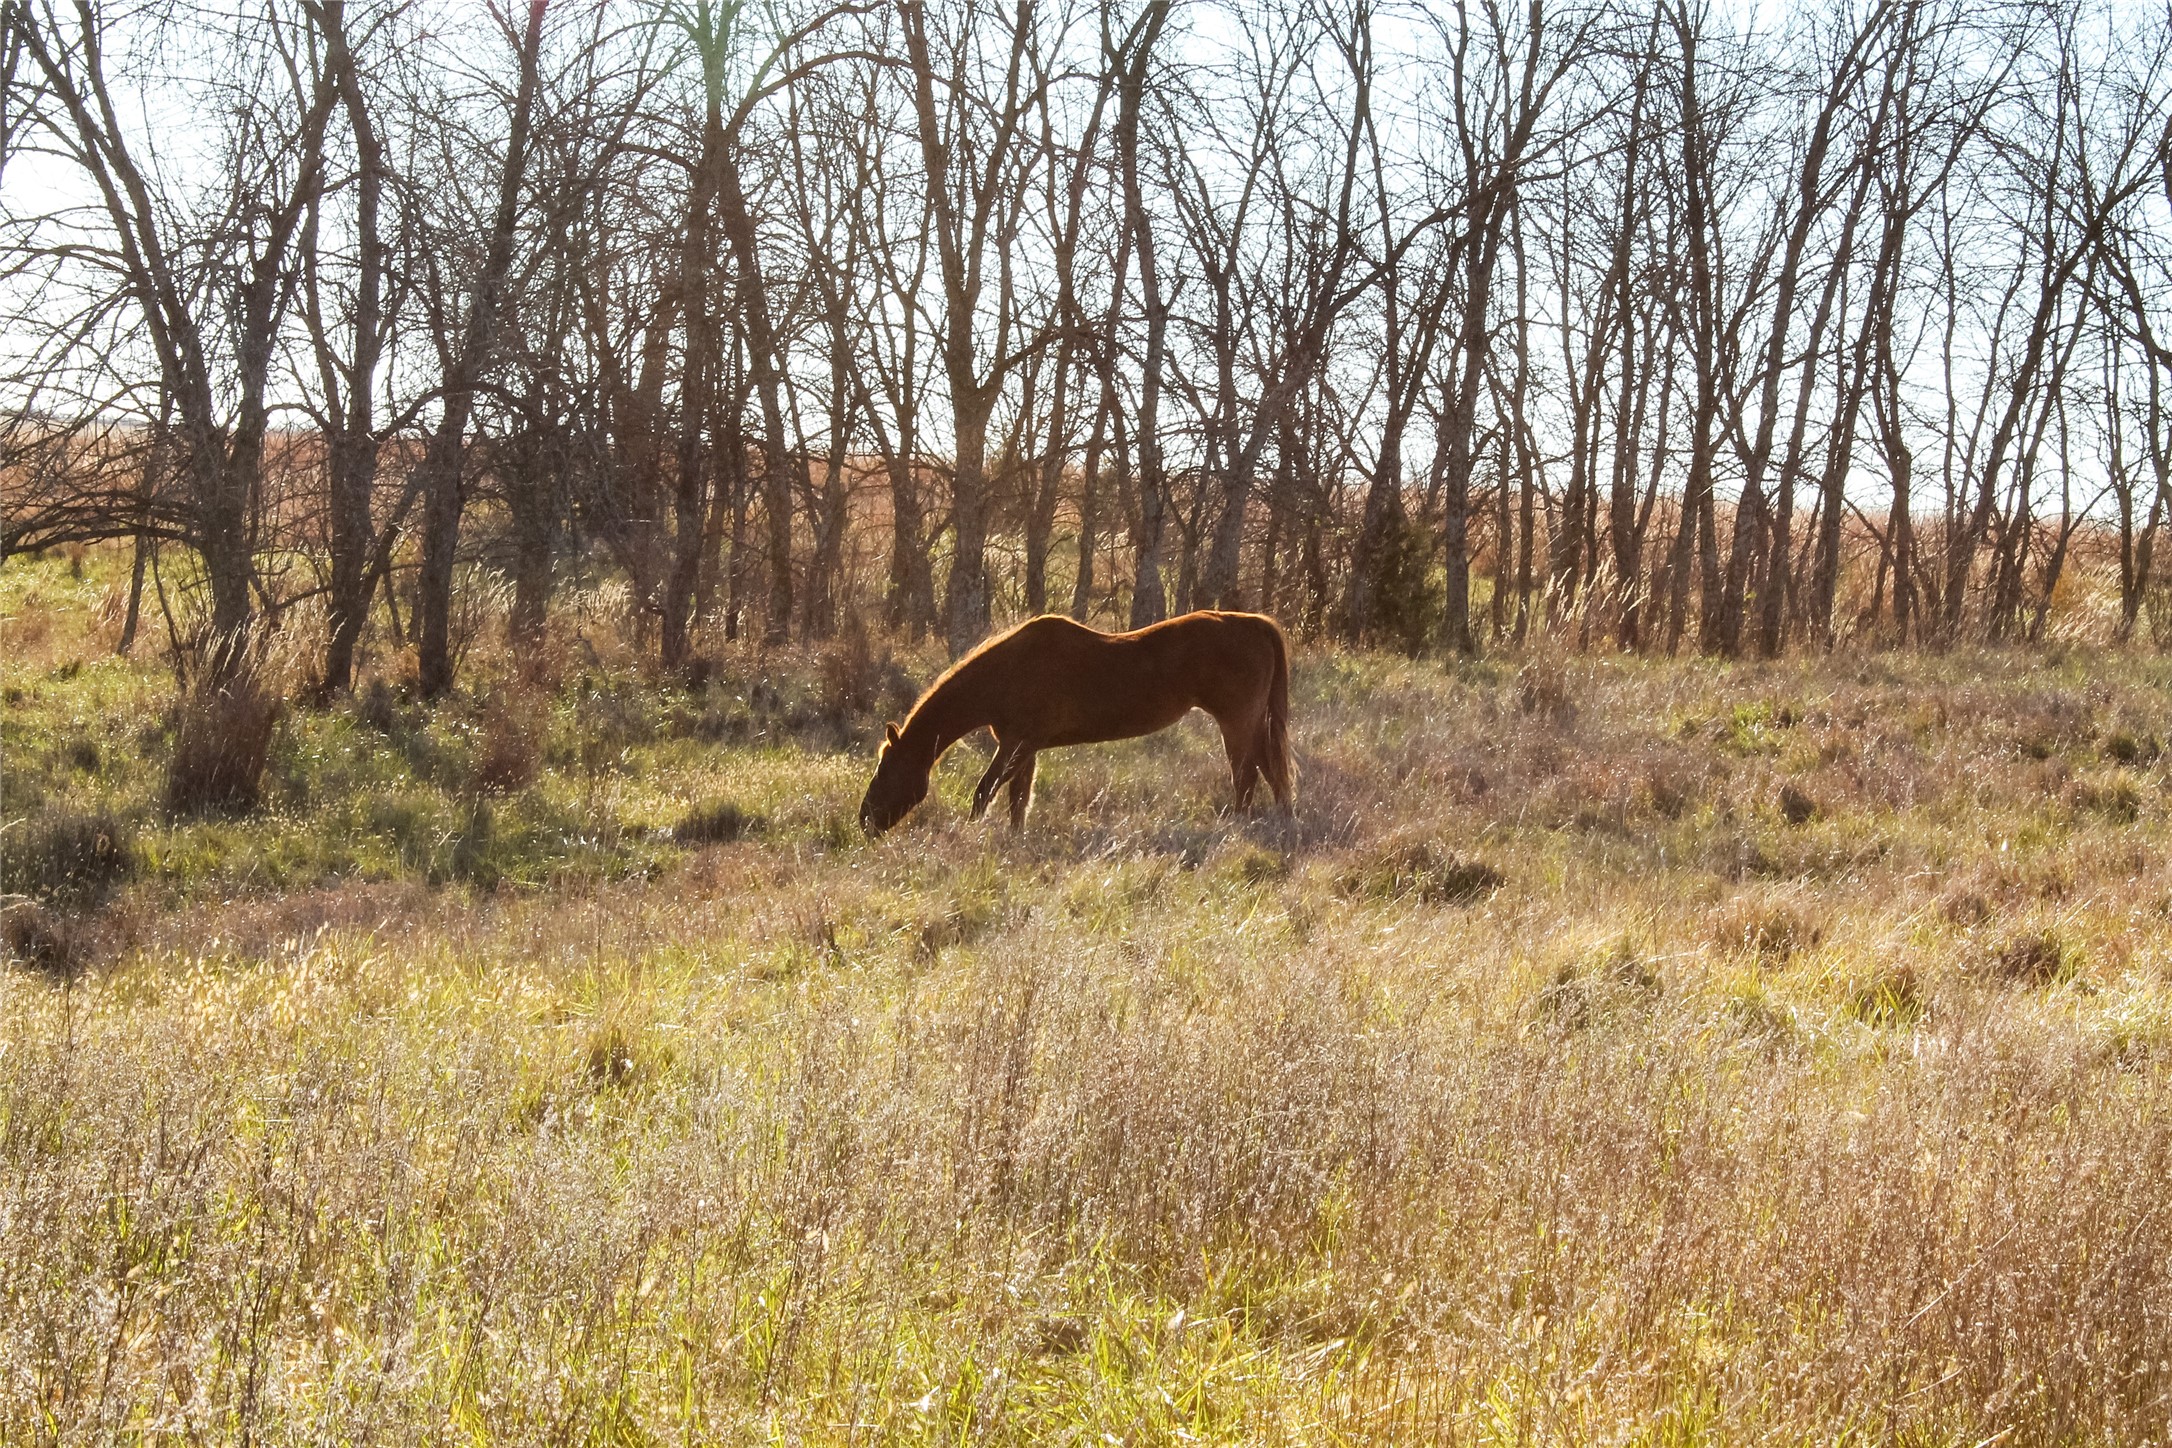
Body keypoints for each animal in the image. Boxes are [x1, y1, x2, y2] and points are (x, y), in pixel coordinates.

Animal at [855, 612, 1285, 837]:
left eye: (885, 771)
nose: (864, 821)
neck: (1008, 673)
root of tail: (1253, 623)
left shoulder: (1016, 743)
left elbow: (984, 793)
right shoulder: (1025, 747)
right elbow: (1017, 801)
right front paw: (1013, 840)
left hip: (1236, 721)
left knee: (1247, 775)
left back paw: (1238, 826)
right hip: (1250, 723)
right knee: (1271, 771)